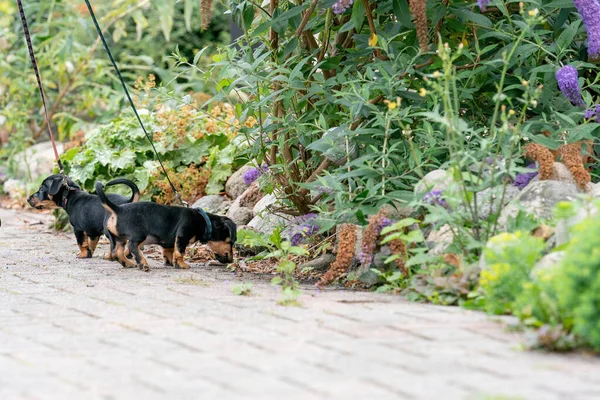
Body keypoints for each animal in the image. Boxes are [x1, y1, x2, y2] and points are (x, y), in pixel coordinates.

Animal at [95, 181, 236, 272]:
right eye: (230, 242)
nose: (231, 260)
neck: (204, 221)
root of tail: (117, 209)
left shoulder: (169, 242)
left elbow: (169, 252)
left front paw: (170, 263)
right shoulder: (183, 235)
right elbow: (180, 252)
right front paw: (181, 265)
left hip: (117, 238)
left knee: (116, 252)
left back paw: (129, 263)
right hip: (138, 234)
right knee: (132, 246)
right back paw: (143, 264)